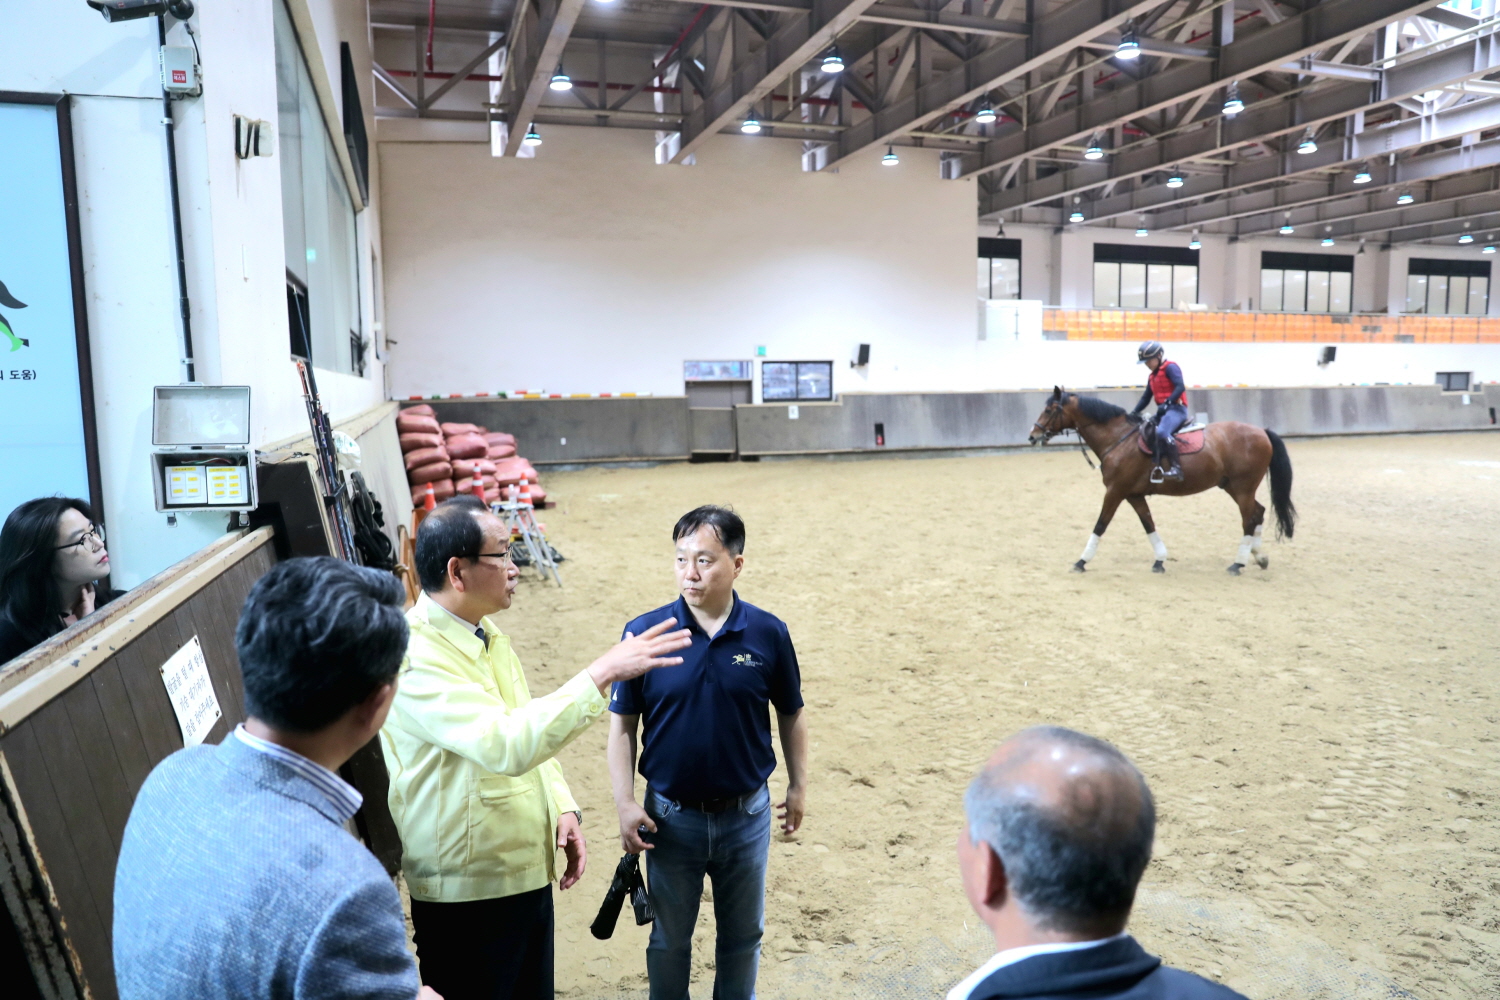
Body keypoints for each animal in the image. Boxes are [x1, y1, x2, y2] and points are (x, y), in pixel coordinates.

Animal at [1026, 386, 1296, 575]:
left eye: (1049, 410)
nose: (1032, 435)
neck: (1119, 438)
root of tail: (1262, 431)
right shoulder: (1133, 495)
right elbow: (1149, 524)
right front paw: (1160, 560)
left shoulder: (1115, 491)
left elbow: (1101, 525)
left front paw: (1081, 561)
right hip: (1233, 486)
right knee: (1258, 512)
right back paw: (1259, 556)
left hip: (1242, 488)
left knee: (1249, 518)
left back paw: (1238, 564)